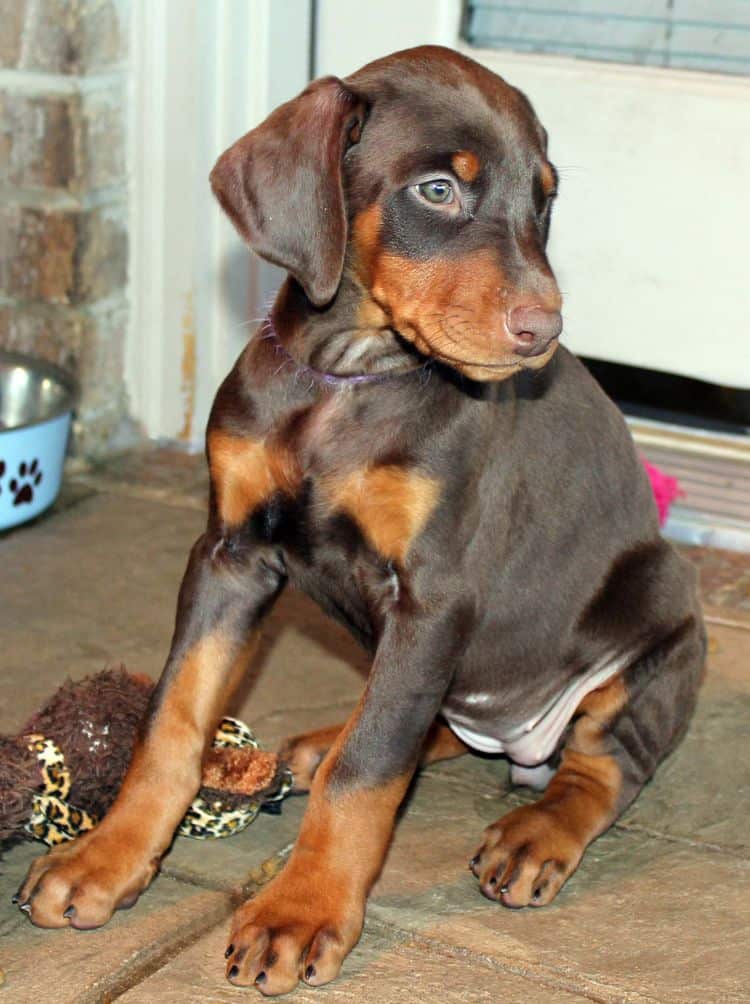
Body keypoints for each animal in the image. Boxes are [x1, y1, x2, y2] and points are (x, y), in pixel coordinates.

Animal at [16, 45, 702, 987]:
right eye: (438, 190)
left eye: (545, 199)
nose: (544, 328)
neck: (349, 375)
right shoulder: (229, 556)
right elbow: (172, 720)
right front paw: (106, 858)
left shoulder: (436, 596)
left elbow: (369, 769)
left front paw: (300, 912)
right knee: (430, 723)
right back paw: (327, 739)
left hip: (658, 609)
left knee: (601, 767)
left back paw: (537, 832)